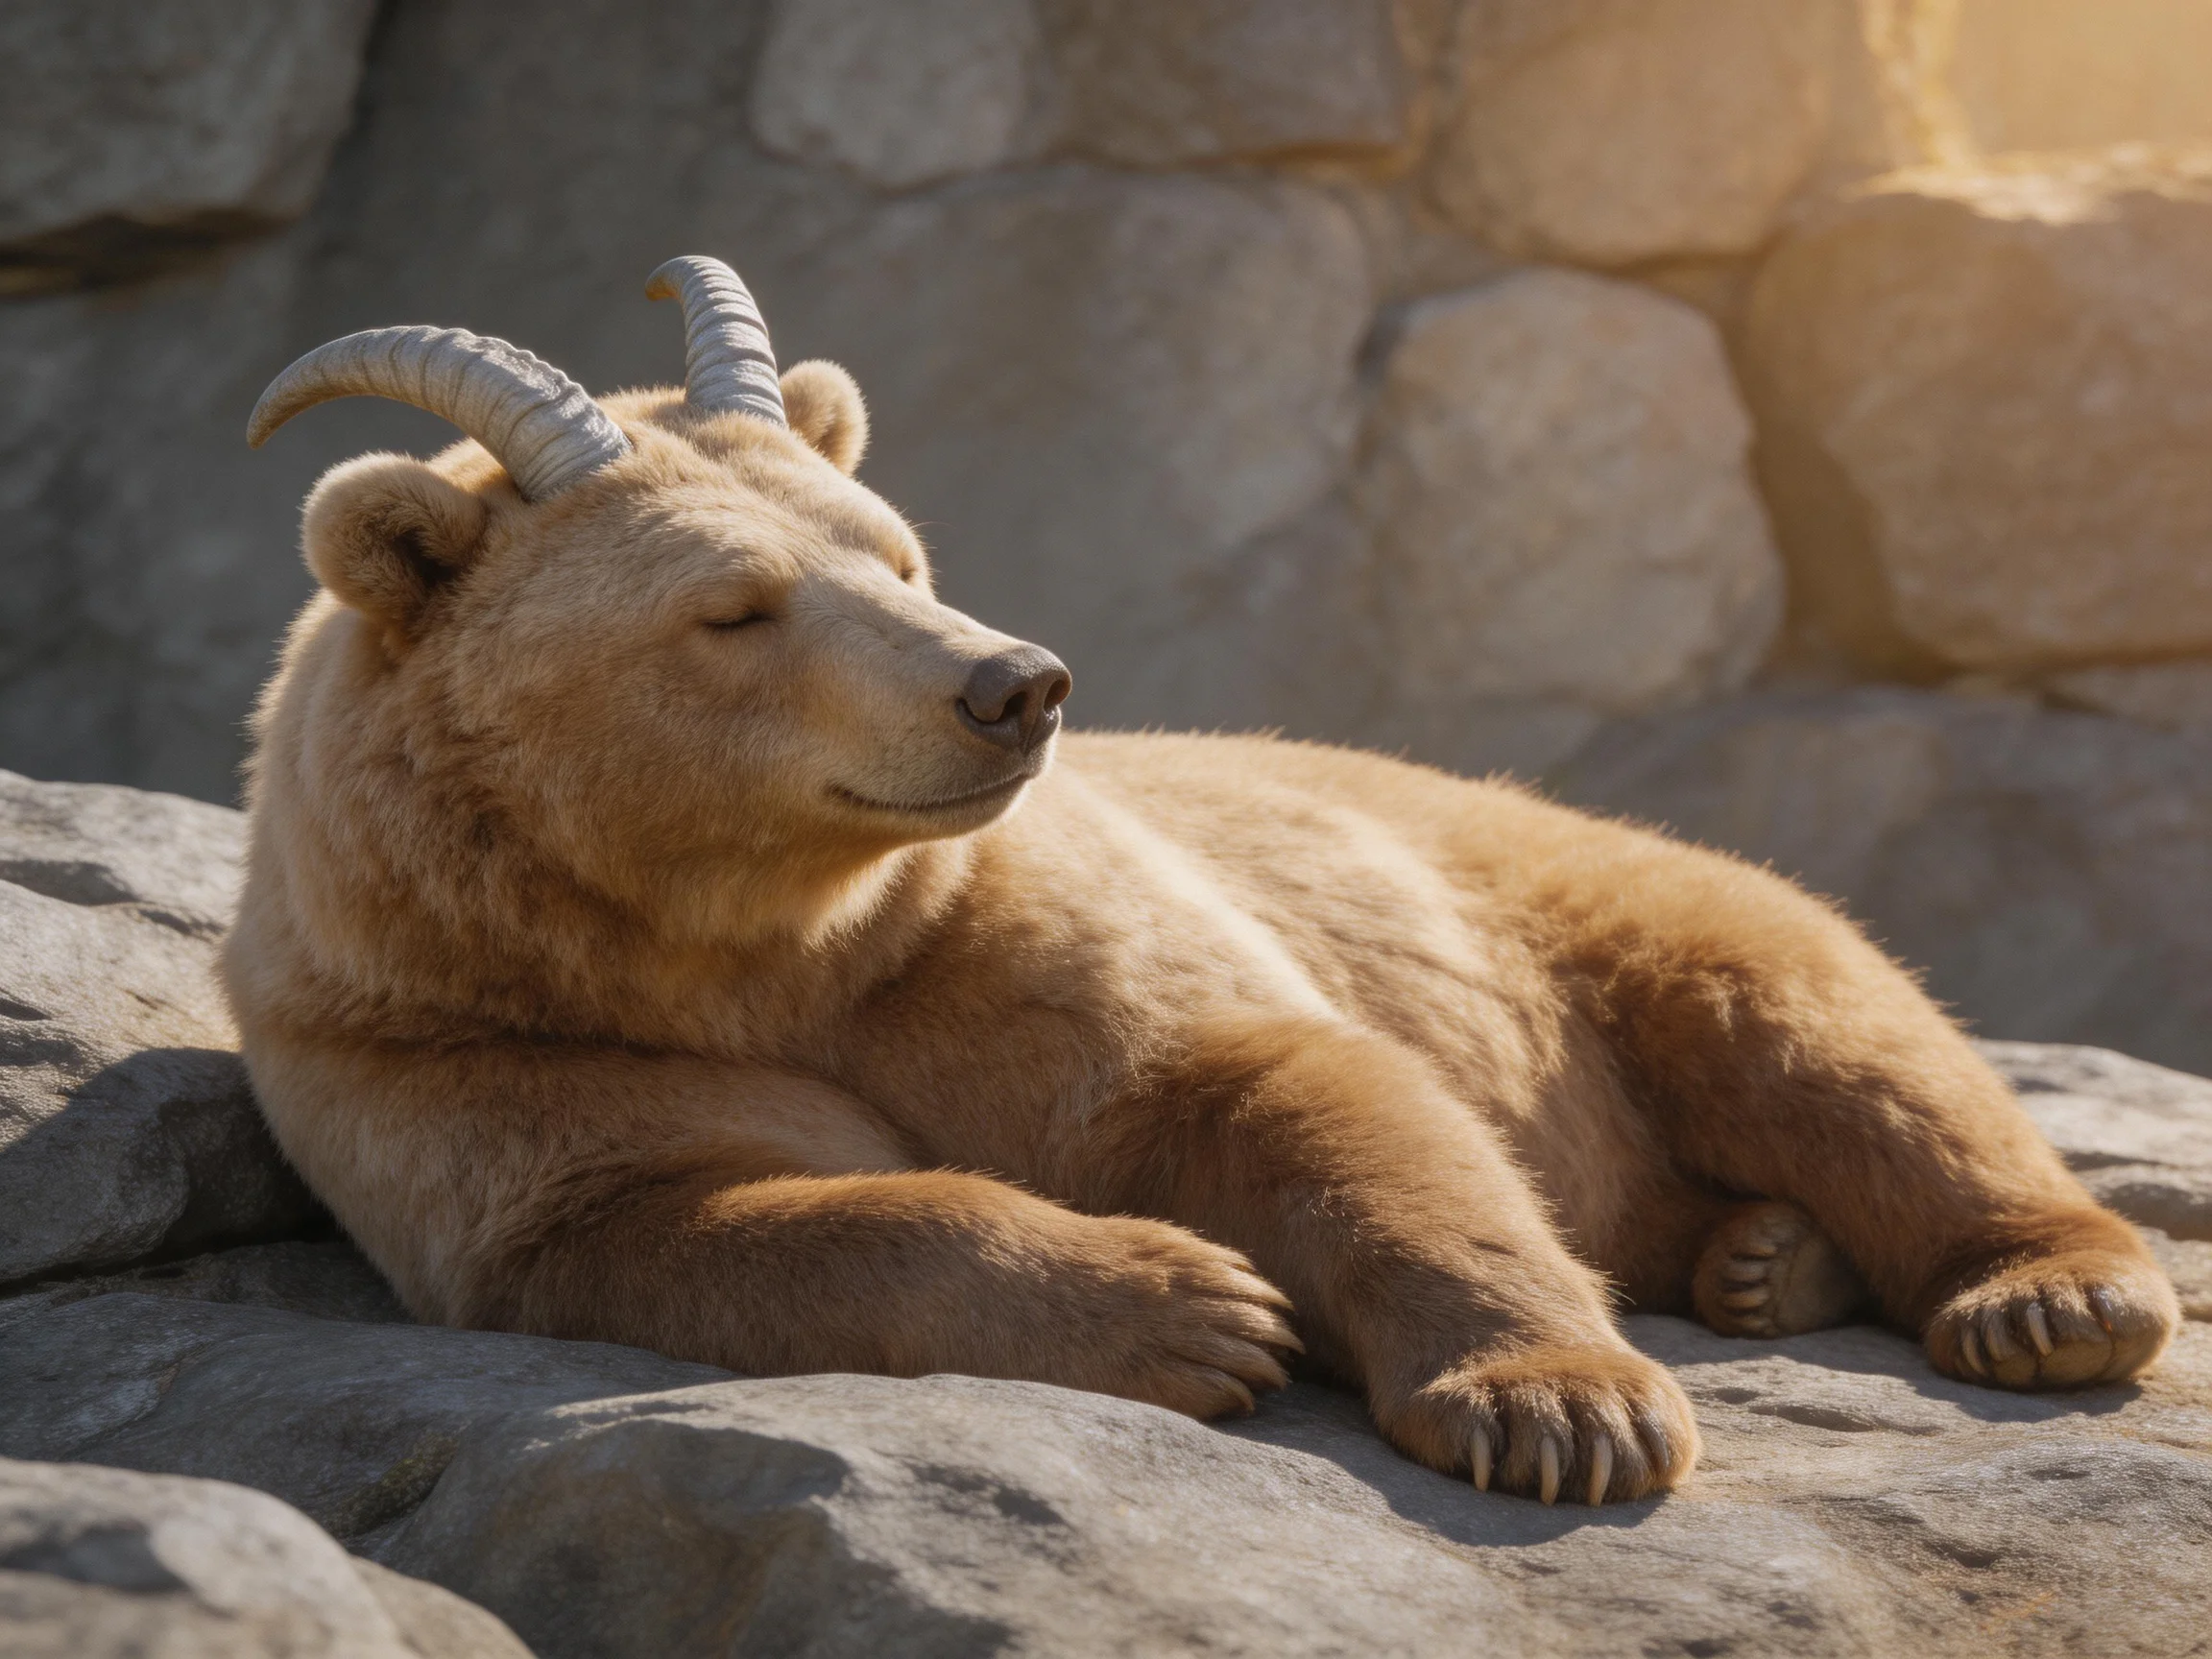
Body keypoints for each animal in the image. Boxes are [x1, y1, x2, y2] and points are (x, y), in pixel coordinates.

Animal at [225, 256, 2178, 1507]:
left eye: (894, 550)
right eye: (735, 605)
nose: (1011, 683)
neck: (746, 941)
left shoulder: (1007, 930)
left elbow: (1288, 1081)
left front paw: (1560, 1408)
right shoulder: (454, 1052)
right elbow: (694, 1219)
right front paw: (1185, 1306)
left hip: (1584, 900)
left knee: (1820, 1027)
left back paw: (2038, 1294)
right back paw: (1761, 1257)